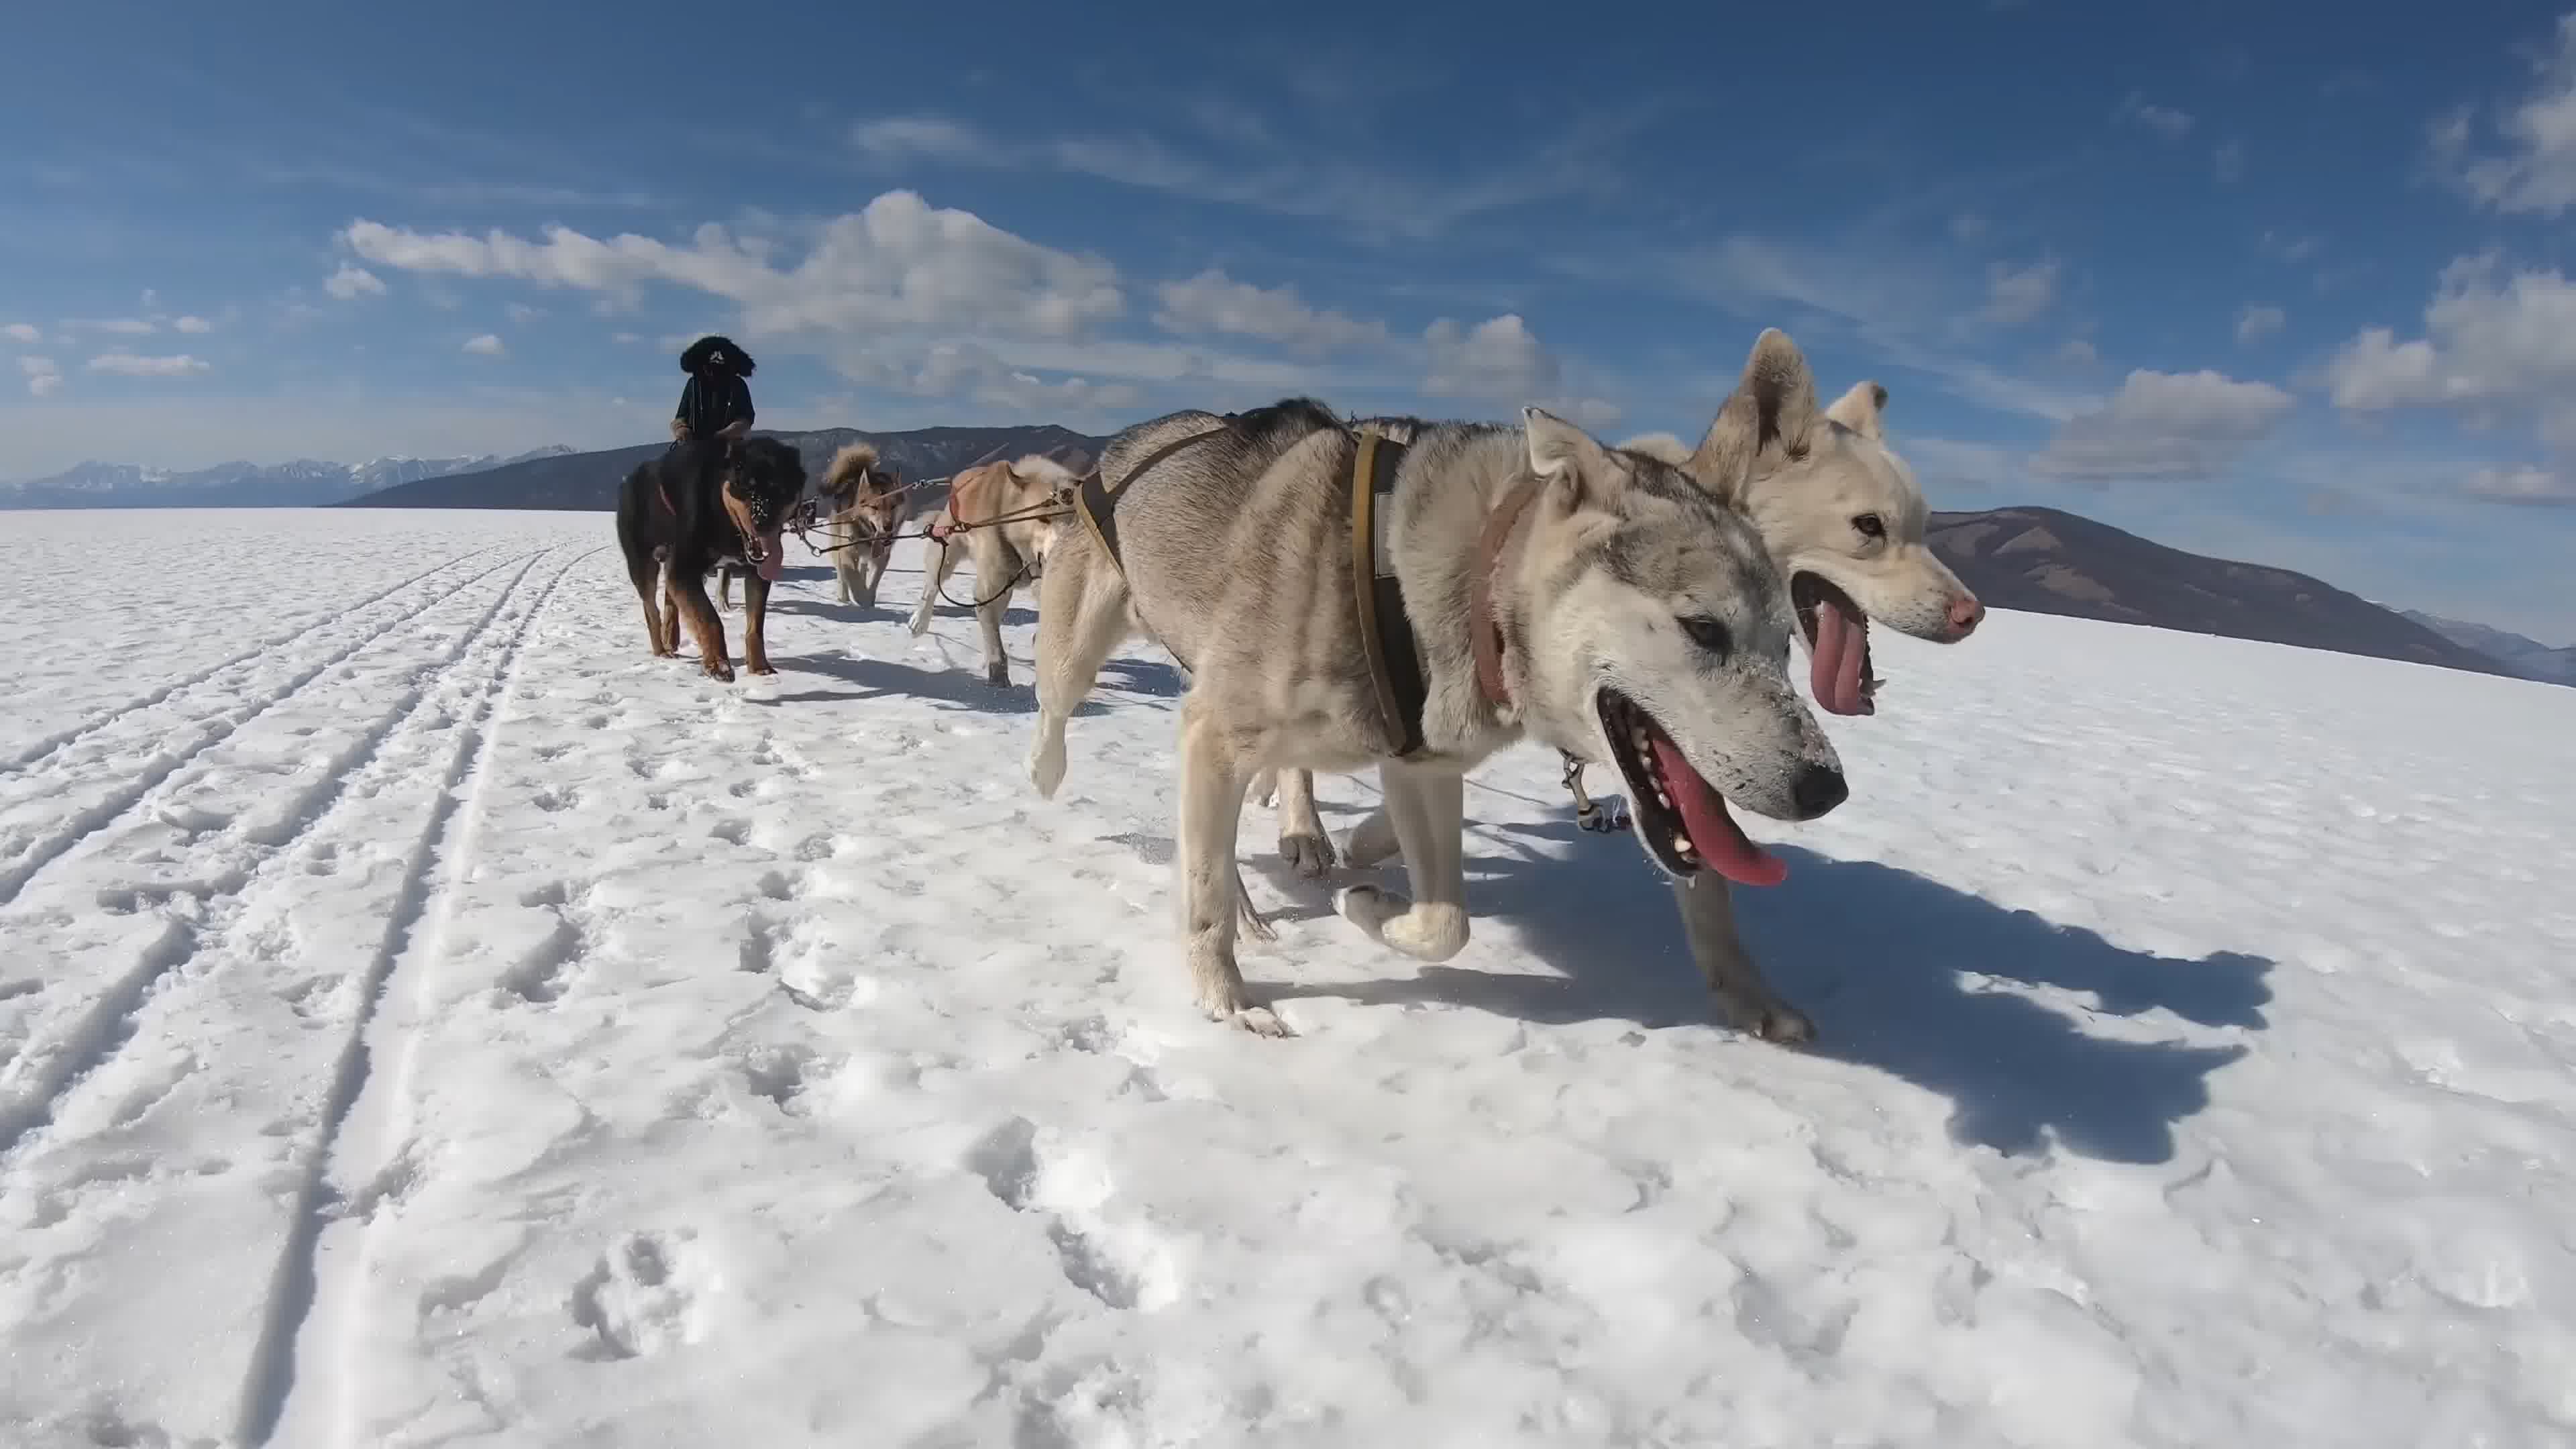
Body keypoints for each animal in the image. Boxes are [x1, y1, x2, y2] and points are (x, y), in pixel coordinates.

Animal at [612, 430, 804, 680]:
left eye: (781, 489)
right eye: (746, 487)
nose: (762, 524)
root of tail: (628, 481)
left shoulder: (757, 574)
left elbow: (755, 626)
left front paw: (759, 666)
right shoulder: (684, 569)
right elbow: (711, 619)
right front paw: (717, 664)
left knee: (670, 598)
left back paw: (671, 635)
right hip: (643, 564)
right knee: (651, 610)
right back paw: (661, 649)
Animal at [906, 451, 1077, 680]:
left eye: (1075, 520)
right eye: (1043, 518)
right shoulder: (985, 592)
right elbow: (996, 647)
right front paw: (999, 681)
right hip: (946, 555)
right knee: (932, 587)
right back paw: (919, 621)